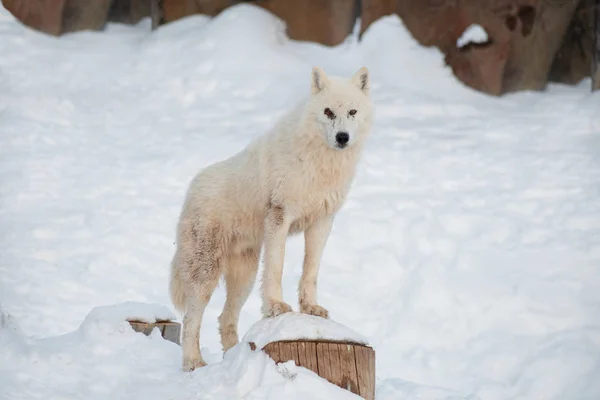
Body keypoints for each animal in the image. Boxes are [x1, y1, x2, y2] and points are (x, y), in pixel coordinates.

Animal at [169, 66, 372, 372]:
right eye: (327, 112)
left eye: (352, 112)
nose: (342, 137)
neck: (320, 164)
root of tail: (191, 190)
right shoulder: (280, 216)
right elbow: (277, 267)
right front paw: (276, 306)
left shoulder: (322, 221)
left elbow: (310, 272)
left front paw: (311, 308)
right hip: (206, 275)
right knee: (190, 320)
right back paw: (194, 362)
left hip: (245, 278)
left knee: (225, 319)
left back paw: (235, 359)